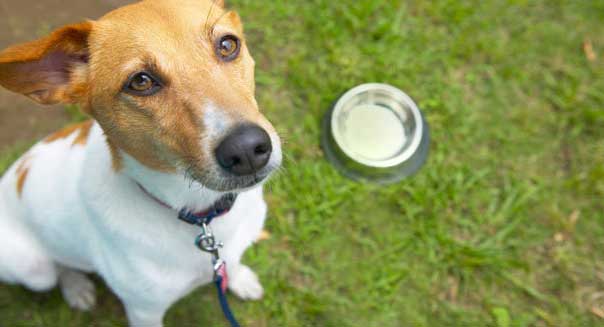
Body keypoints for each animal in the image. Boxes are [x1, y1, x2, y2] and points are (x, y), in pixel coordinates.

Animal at [0, 0, 280, 326]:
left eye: (227, 45)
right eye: (141, 81)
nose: (246, 150)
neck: (202, 217)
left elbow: (231, 264)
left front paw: (241, 279)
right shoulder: (144, 311)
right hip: (34, 270)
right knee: (59, 269)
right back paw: (77, 287)